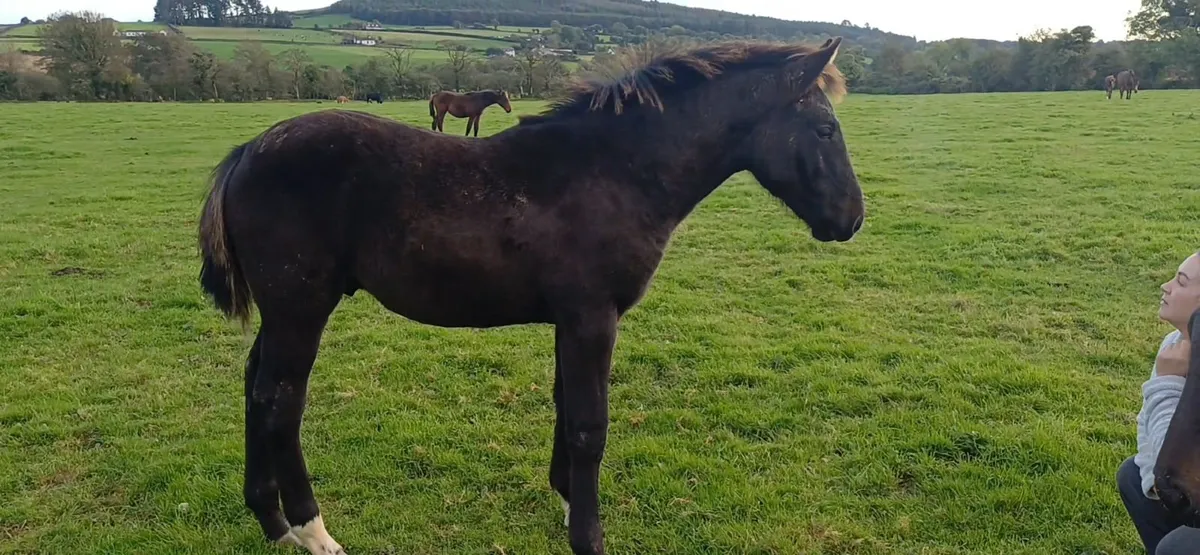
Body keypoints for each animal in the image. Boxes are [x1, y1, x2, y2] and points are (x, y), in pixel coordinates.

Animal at [197, 37, 862, 555]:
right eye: (825, 128)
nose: (852, 220)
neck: (616, 171)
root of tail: (245, 153)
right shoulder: (594, 317)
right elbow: (590, 426)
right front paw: (589, 537)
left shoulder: (572, 320)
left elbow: (566, 407)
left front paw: (568, 505)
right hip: (301, 307)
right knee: (281, 401)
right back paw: (313, 531)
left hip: (281, 312)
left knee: (255, 386)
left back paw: (271, 521)